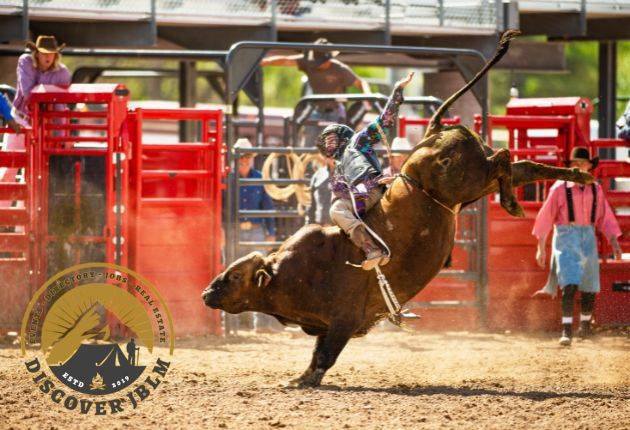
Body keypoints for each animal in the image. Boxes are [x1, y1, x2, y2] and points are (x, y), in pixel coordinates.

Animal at [204, 30, 596, 386]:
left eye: (235, 276)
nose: (207, 292)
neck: (291, 271)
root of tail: (433, 134)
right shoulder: (326, 325)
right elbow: (318, 352)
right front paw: (300, 377)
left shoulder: (342, 320)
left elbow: (325, 355)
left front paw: (305, 379)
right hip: (473, 185)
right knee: (520, 166)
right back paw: (576, 176)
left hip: (467, 179)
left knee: (503, 156)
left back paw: (515, 203)